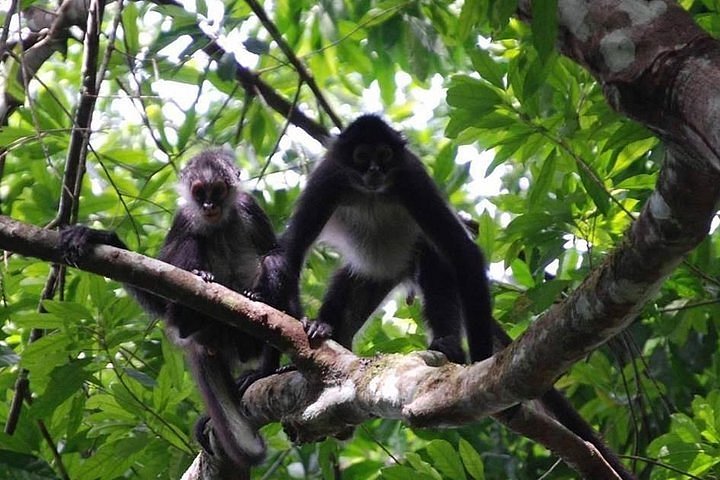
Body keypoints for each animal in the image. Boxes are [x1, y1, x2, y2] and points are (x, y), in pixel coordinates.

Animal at [60, 149, 294, 468]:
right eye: (199, 192)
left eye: (217, 191)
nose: (208, 205)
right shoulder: (184, 218)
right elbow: (162, 296)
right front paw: (101, 237)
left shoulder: (249, 207)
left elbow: (276, 255)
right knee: (192, 244)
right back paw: (192, 306)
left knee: (273, 266)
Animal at [258, 114, 496, 364]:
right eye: (362, 156)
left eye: (384, 155)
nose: (374, 170)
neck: (370, 193)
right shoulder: (327, 178)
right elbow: (291, 251)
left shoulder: (412, 178)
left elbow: (465, 253)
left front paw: (482, 358)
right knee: (345, 283)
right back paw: (323, 326)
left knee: (436, 269)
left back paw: (448, 345)